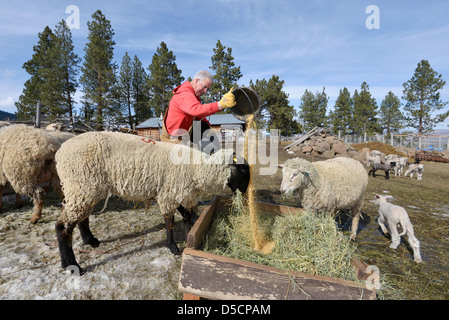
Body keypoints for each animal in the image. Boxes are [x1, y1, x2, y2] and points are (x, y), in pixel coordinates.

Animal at [54, 131, 250, 272]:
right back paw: (72, 265)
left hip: (86, 189)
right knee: (63, 227)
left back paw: (90, 240)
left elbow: (187, 218)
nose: (246, 194)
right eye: (243, 169)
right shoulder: (169, 193)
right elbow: (169, 221)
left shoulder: (183, 194)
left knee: (82, 217)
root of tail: (60, 151)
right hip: (81, 184)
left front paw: (189, 238)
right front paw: (172, 246)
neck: (197, 169)